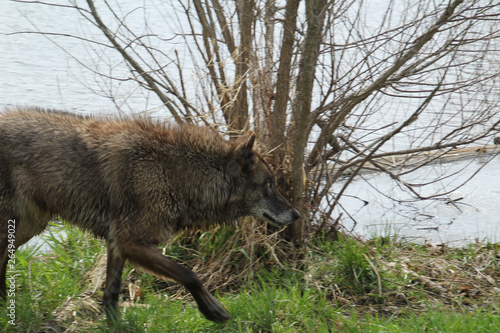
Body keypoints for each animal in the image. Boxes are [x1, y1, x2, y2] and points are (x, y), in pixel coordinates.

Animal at [0, 107, 298, 320]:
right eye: (269, 184)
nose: (295, 214)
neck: (176, 174)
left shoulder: (118, 243)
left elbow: (111, 292)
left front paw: (115, 325)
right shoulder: (132, 241)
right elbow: (189, 274)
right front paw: (213, 311)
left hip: (28, 226)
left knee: (3, 260)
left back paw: (4, 303)